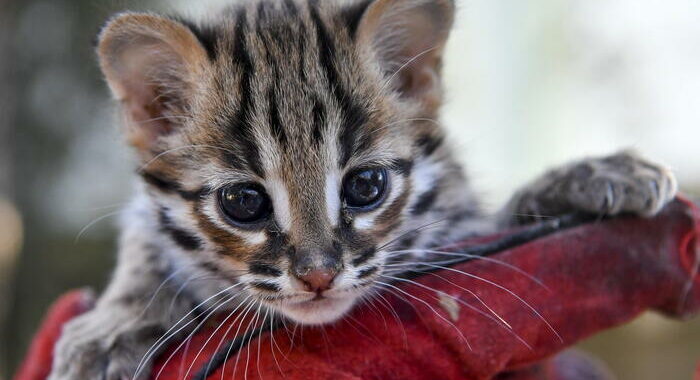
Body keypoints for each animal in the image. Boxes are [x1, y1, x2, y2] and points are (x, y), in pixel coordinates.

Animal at [49, 0, 680, 378]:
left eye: (366, 187)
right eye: (244, 203)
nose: (318, 276)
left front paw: (588, 177)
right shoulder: (145, 214)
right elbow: (145, 243)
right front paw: (113, 324)